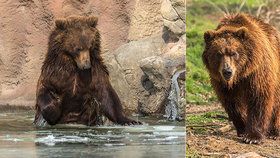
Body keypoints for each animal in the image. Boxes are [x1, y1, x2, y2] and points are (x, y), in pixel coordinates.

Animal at [202, 13, 280, 144]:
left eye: (233, 53)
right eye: (219, 54)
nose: (227, 71)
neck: (240, 74)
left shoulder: (257, 72)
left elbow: (259, 98)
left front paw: (253, 137)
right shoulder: (222, 83)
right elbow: (232, 103)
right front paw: (243, 129)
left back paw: (275, 132)